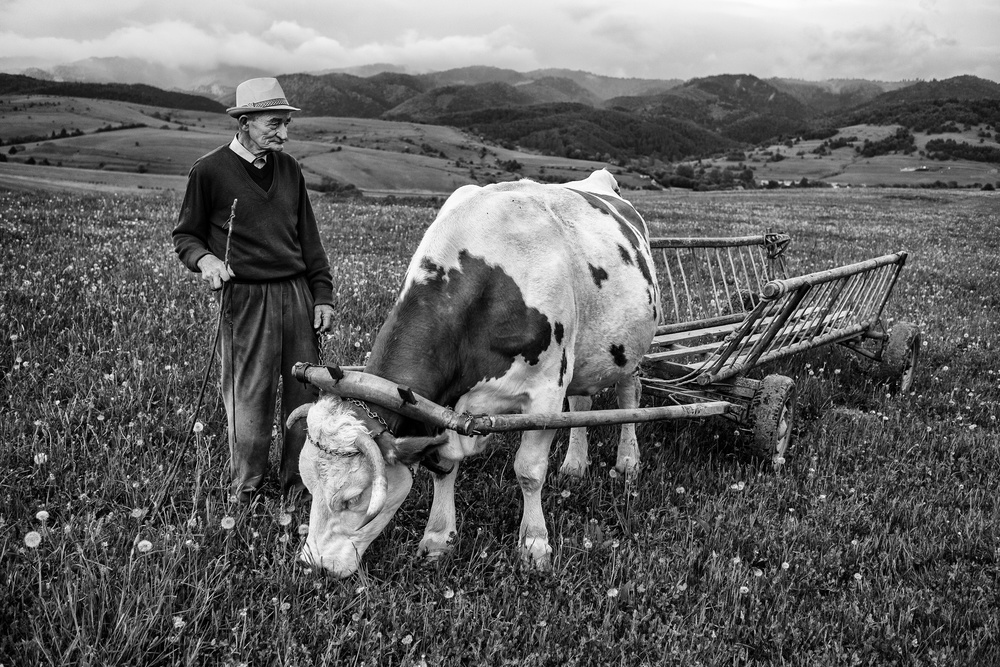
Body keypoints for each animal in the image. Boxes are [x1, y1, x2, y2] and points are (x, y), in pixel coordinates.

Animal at [290, 170, 660, 576]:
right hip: (587, 355)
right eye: (308, 485)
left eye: (354, 497)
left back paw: (628, 460)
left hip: (629, 346)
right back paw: (575, 464)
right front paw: (438, 539)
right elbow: (443, 466)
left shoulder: (546, 391)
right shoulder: (441, 408)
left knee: (629, 396)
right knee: (582, 403)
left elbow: (529, 471)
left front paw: (535, 544)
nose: (312, 565)